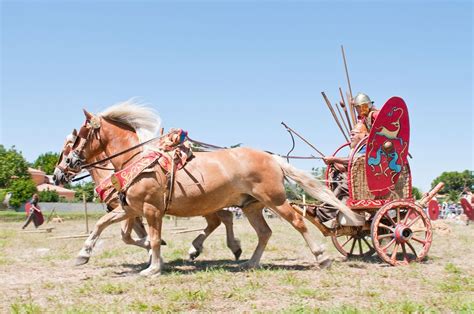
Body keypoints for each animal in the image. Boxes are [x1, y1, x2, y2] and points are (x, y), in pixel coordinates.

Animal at [54, 130, 243, 264]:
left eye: (68, 147)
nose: (56, 176)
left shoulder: (130, 208)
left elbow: (129, 234)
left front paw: (154, 251)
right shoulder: (129, 209)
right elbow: (133, 233)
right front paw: (152, 252)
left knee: (221, 219)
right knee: (222, 218)